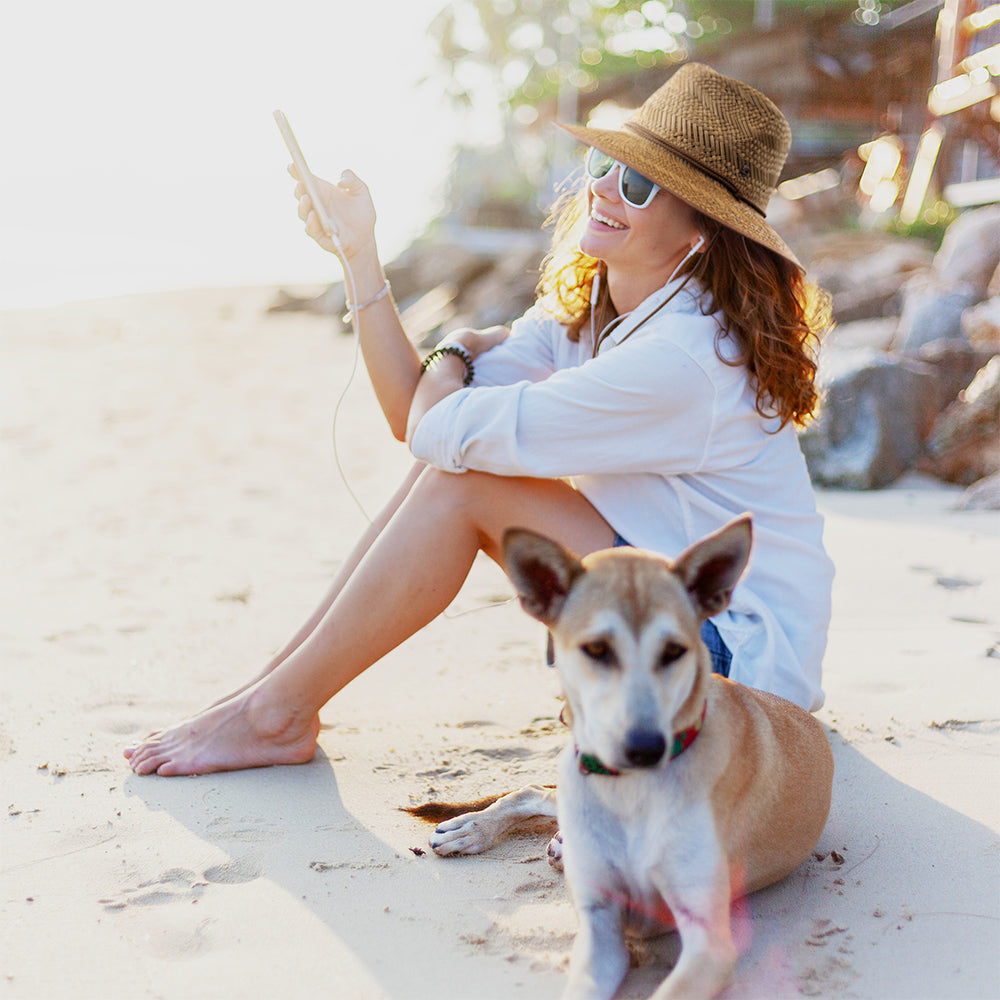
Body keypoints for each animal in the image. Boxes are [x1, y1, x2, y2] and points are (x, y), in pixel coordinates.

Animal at [426, 516, 832, 1000]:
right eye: (597, 650)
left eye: (674, 651)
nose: (644, 748)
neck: (630, 792)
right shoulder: (599, 931)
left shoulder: (708, 944)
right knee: (533, 790)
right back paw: (473, 829)